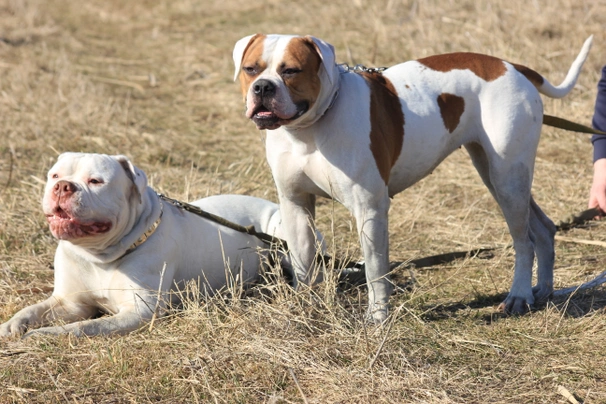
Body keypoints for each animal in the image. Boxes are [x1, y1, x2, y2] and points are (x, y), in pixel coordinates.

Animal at [0, 153, 292, 336]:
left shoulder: (140, 311)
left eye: (95, 181)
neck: (98, 256)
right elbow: (32, 309)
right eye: (54, 175)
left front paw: (47, 334)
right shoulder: (69, 303)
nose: (62, 186)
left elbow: (86, 327)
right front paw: (12, 324)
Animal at [235, 33, 596, 322]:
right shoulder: (295, 205)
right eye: (251, 69)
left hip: (508, 178)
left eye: (291, 70)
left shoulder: (370, 210)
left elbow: (375, 270)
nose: (263, 87)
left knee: (524, 241)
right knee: (543, 228)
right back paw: (543, 291)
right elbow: (303, 265)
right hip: (496, 175)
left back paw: (519, 294)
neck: (309, 129)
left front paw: (377, 318)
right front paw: (304, 310)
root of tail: (511, 67)